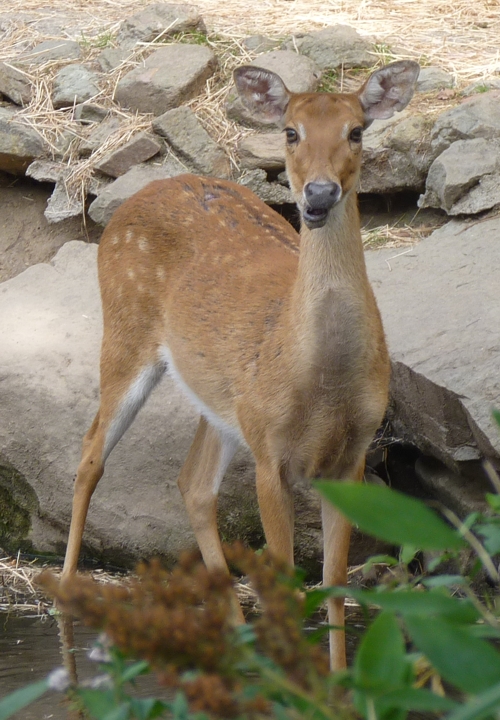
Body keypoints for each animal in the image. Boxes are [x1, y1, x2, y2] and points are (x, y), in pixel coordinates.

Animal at [61, 60, 419, 670]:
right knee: (89, 456)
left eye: (357, 131)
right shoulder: (270, 455)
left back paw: (239, 645)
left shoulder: (350, 456)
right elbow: (289, 588)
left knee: (193, 483)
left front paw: (338, 683)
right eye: (290, 132)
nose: (319, 193)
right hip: (126, 331)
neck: (322, 382)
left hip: (223, 402)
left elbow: (335, 586)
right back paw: (63, 602)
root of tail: (142, 191)